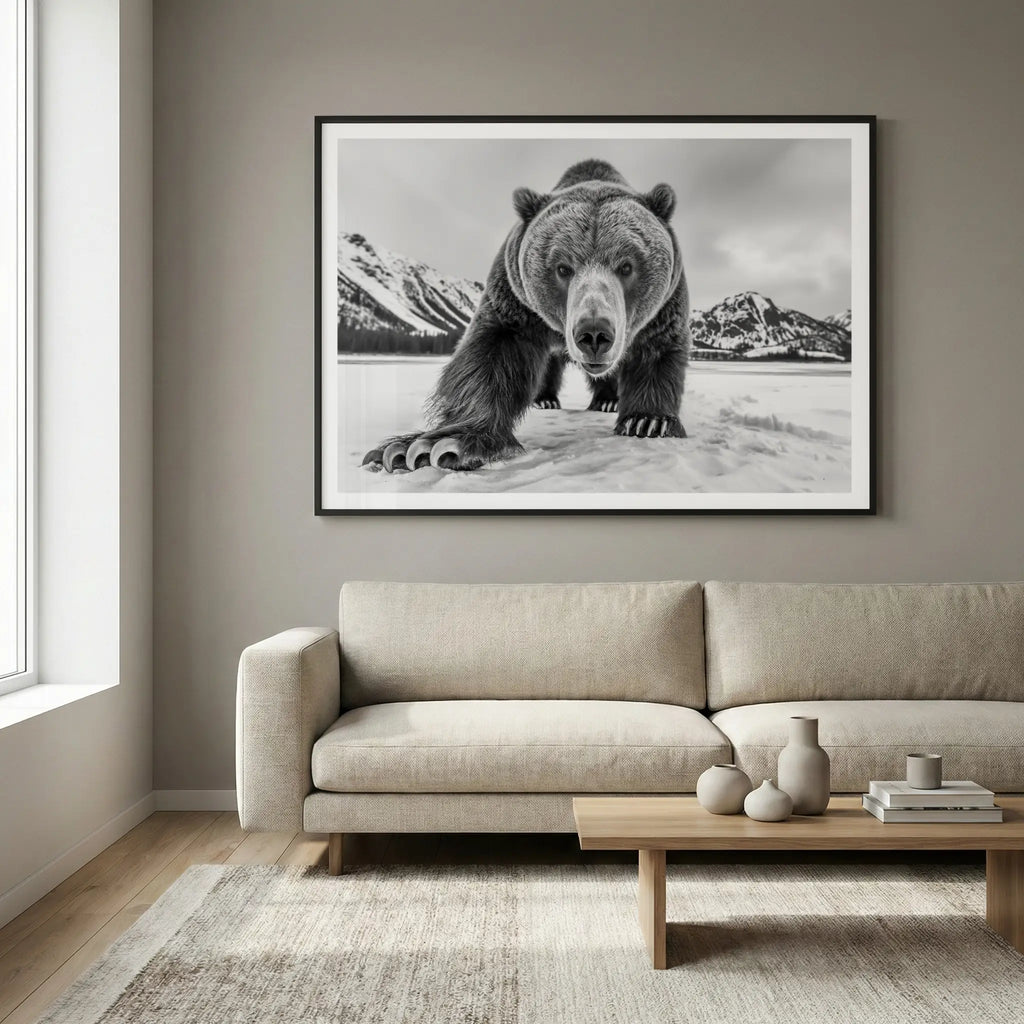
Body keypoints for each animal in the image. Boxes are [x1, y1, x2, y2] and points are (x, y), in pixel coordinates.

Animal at [363, 158, 690, 473]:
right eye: (563, 267)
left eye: (626, 266)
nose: (594, 333)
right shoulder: (516, 303)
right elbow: (492, 356)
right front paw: (425, 448)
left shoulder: (662, 310)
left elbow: (655, 354)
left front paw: (648, 421)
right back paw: (545, 399)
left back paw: (608, 401)